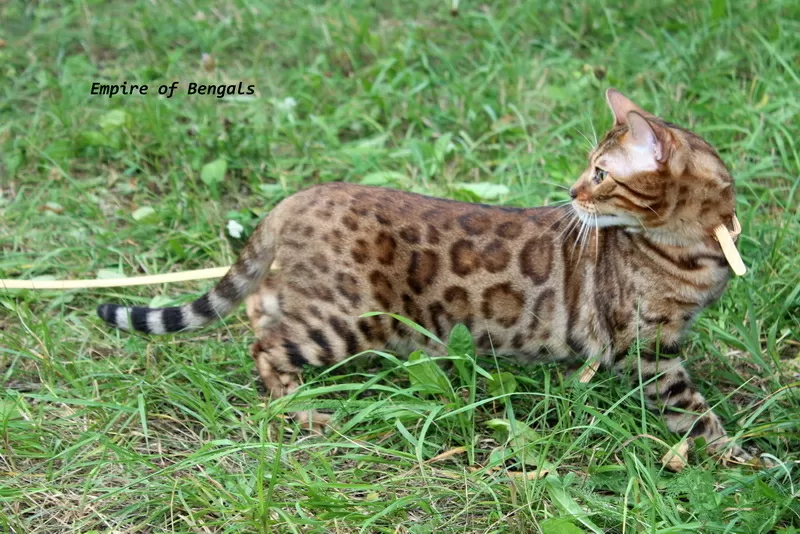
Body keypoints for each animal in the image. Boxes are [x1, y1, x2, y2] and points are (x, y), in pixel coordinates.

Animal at [97, 90, 752, 462]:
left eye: (599, 172)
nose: (570, 194)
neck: (698, 243)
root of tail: (298, 196)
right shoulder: (647, 348)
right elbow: (694, 413)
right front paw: (738, 458)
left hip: (319, 301)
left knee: (261, 305)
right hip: (349, 318)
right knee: (265, 347)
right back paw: (302, 409)